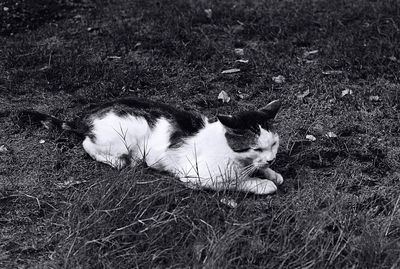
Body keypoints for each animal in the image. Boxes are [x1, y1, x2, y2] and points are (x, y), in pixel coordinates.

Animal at [18, 97, 282, 194]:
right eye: (256, 148)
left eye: (274, 144)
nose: (271, 159)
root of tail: (85, 117)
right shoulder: (196, 176)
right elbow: (236, 181)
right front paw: (263, 183)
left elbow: (259, 171)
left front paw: (272, 173)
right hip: (119, 141)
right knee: (88, 145)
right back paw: (122, 162)